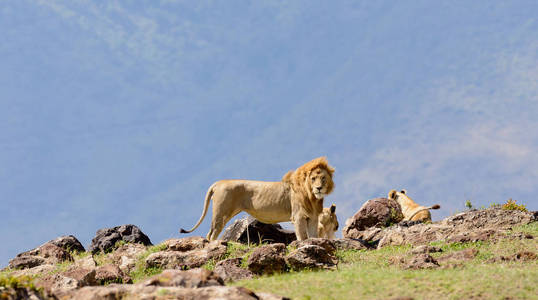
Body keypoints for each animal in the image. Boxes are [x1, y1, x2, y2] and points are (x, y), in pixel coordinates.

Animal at [179, 158, 330, 240]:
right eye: (313, 178)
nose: (319, 188)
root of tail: (218, 182)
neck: (312, 197)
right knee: (211, 234)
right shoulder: (298, 216)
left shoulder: (313, 217)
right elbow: (302, 236)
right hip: (221, 213)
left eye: (323, 178)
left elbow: (313, 235)